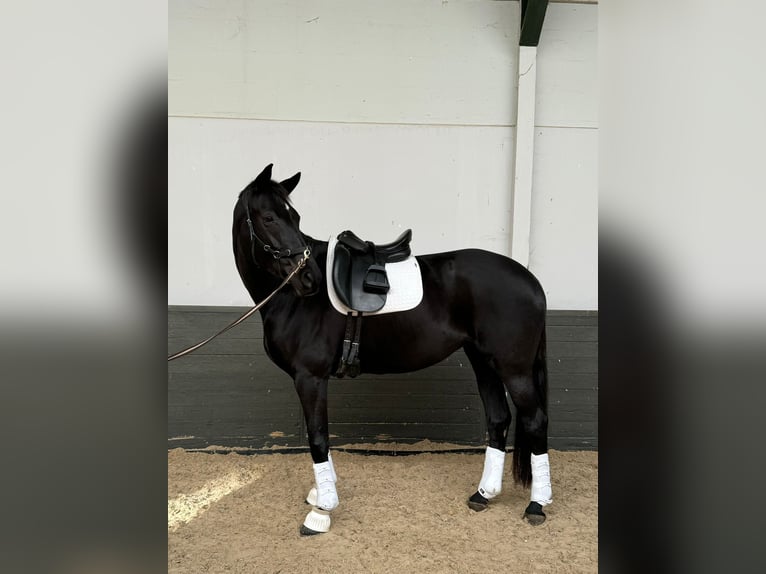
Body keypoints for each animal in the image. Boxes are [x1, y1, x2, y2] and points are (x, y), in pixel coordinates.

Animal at [232, 165, 552, 536]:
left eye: (294, 217)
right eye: (270, 217)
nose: (309, 278)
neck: (290, 299)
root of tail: (531, 281)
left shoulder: (310, 378)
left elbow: (318, 438)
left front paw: (322, 511)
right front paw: (322, 494)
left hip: (514, 369)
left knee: (534, 421)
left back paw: (536, 505)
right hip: (483, 362)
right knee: (499, 418)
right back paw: (483, 495)